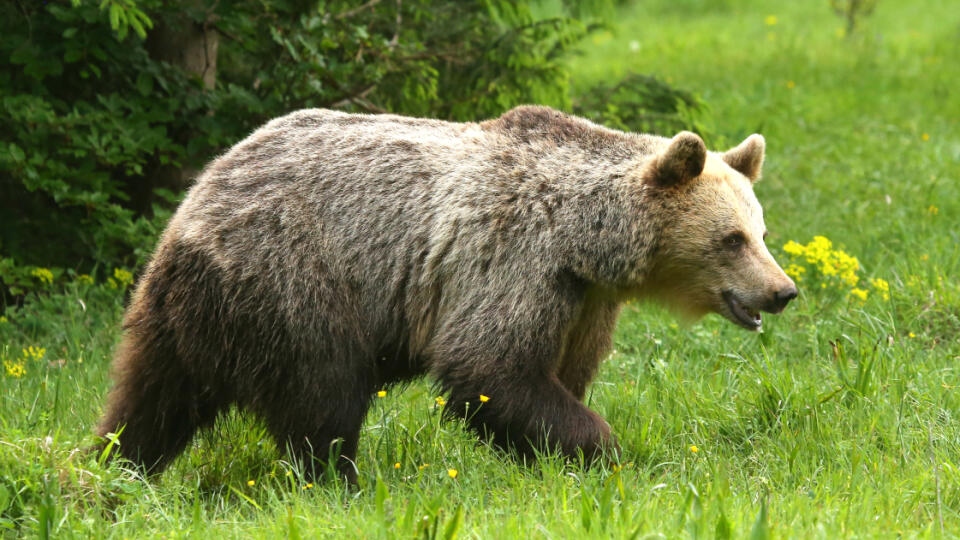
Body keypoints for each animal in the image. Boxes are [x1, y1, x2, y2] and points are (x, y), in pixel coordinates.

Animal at [95, 104, 796, 480]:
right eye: (731, 238)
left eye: (763, 232)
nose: (783, 290)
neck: (587, 241)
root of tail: (200, 193)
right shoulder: (512, 260)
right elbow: (487, 369)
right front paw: (607, 449)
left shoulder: (584, 301)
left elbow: (561, 374)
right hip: (292, 279)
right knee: (323, 395)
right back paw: (341, 481)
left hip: (186, 310)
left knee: (150, 398)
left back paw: (113, 467)